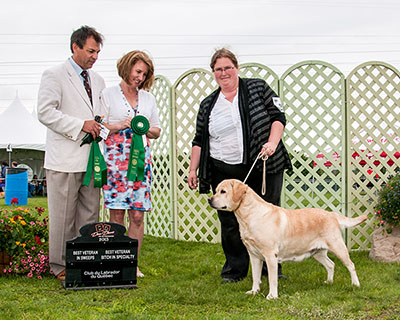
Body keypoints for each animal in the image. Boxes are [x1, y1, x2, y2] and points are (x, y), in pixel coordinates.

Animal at [208, 179, 368, 298]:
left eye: (223, 191)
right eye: (215, 190)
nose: (209, 199)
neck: (249, 215)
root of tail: (332, 214)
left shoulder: (270, 255)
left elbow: (272, 278)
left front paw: (272, 296)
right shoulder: (254, 255)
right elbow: (255, 276)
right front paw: (254, 291)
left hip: (337, 246)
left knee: (351, 265)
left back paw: (356, 284)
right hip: (317, 252)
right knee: (331, 264)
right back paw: (329, 282)